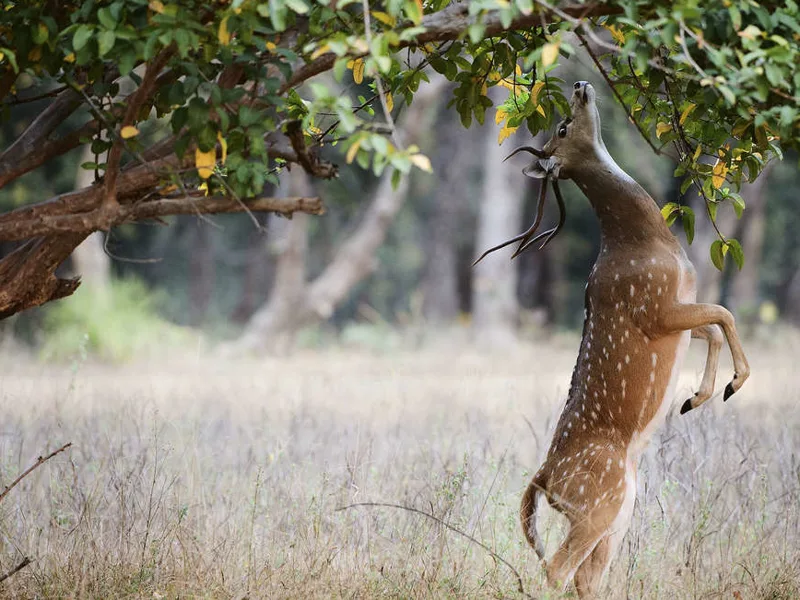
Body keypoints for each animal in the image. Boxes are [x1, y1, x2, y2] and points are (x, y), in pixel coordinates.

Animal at [477, 81, 750, 598]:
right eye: (563, 126)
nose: (580, 86)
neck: (647, 243)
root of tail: (543, 479)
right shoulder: (655, 307)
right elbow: (724, 313)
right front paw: (732, 384)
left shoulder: (678, 307)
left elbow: (712, 326)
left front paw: (697, 397)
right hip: (598, 501)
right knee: (556, 567)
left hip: (617, 513)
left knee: (586, 577)